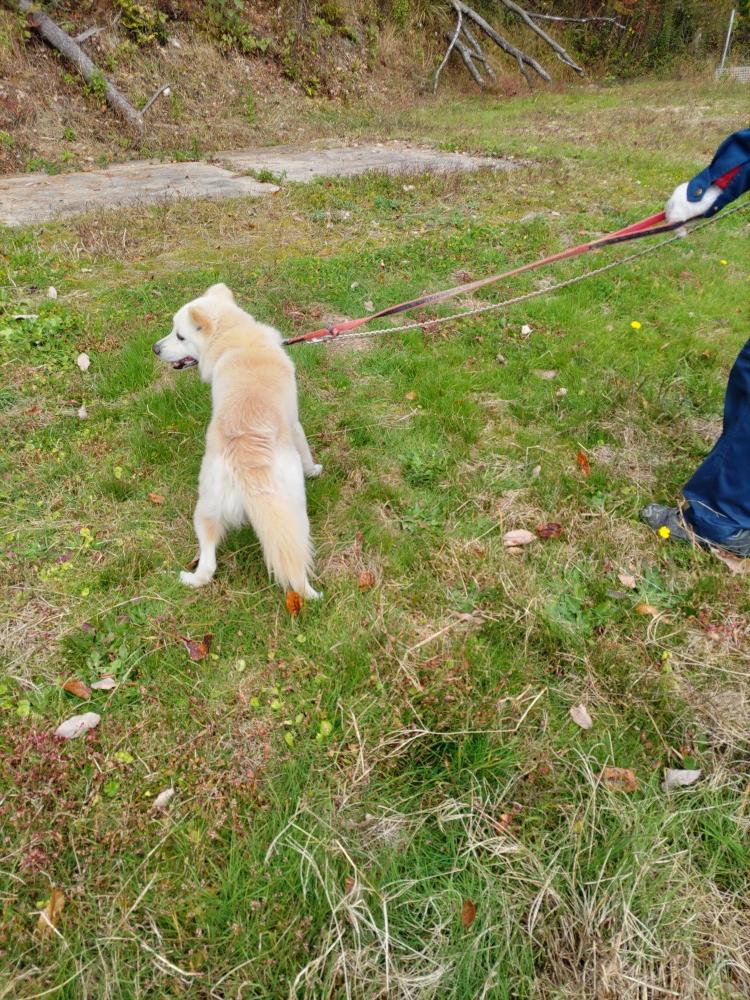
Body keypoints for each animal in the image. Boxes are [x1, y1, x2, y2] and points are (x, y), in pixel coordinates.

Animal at [153, 284, 322, 599]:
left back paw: (190, 579)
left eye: (179, 335)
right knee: (295, 565)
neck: (235, 339)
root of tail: (245, 463)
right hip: (293, 514)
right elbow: (306, 452)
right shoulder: (295, 425)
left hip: (205, 509)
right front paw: (314, 469)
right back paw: (312, 595)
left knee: (207, 567)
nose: (155, 349)